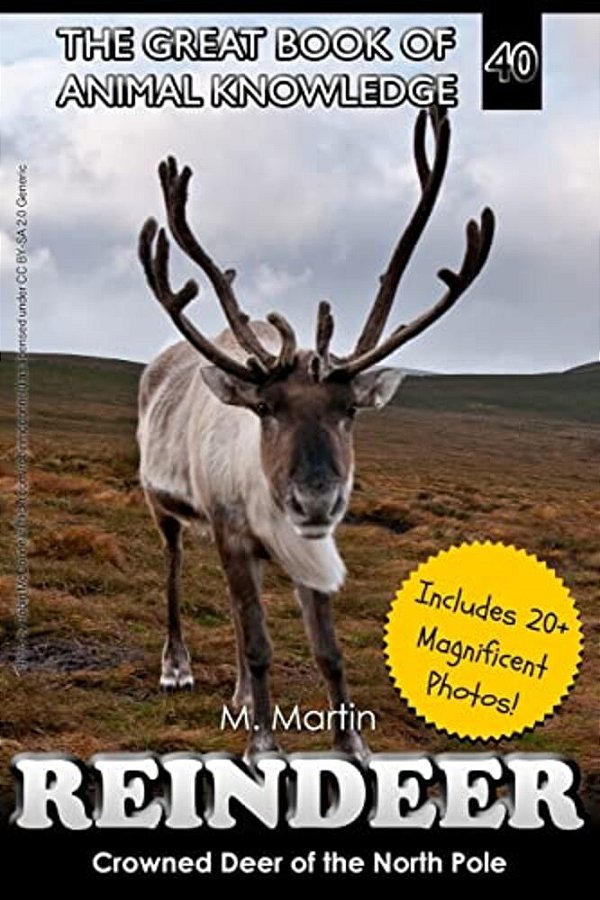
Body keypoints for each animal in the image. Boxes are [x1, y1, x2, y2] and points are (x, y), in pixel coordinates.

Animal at [136, 104, 494, 759]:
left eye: (349, 409)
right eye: (266, 408)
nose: (315, 498)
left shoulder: (307, 545)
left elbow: (327, 651)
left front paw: (351, 745)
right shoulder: (229, 533)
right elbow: (259, 645)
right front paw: (262, 744)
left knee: (235, 611)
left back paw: (239, 695)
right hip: (162, 505)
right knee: (174, 572)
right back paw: (177, 667)